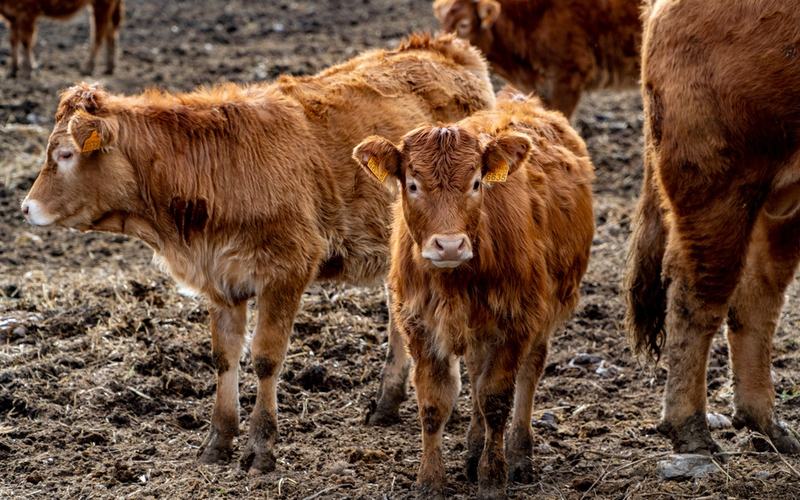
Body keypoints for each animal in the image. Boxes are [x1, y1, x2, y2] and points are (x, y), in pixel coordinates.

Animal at [20, 33, 496, 473]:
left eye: (65, 154)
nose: (25, 207)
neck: (214, 169)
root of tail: (441, 46)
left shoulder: (286, 271)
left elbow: (266, 358)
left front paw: (261, 446)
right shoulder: (221, 279)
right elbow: (224, 357)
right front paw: (218, 440)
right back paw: (386, 403)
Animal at [353, 92, 594, 497]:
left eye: (477, 182)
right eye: (413, 184)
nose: (449, 245)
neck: (455, 283)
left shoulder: (515, 322)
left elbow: (495, 399)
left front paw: (493, 476)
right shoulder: (420, 325)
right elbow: (434, 401)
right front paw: (430, 479)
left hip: (542, 313)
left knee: (527, 375)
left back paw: (519, 454)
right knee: (478, 373)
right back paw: (473, 448)